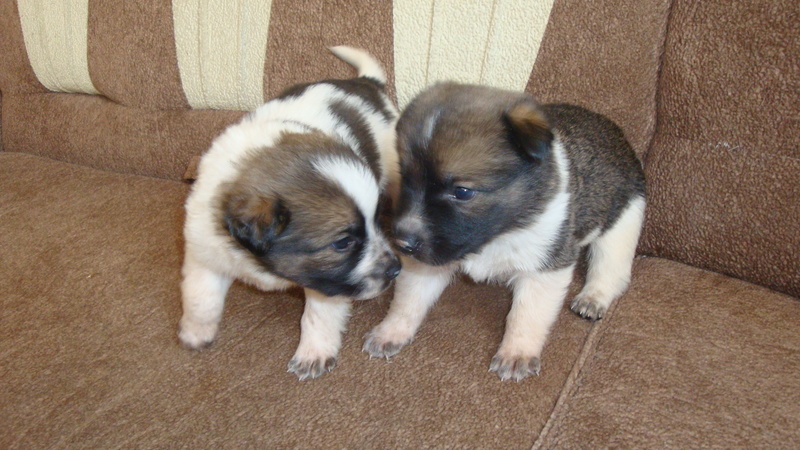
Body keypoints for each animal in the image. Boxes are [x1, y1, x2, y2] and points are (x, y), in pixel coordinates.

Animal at [179, 46, 401, 380]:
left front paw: (314, 353)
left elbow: (318, 314)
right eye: (343, 243)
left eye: (376, 222)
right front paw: (196, 332)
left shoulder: (325, 283)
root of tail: (365, 82)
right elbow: (199, 297)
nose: (395, 269)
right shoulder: (205, 248)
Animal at [363, 82, 646, 381]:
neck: (497, 235)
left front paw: (517, 353)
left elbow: (525, 315)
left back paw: (593, 297)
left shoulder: (545, 268)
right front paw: (391, 331)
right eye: (406, 179)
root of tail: (616, 133)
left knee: (611, 270)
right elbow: (409, 301)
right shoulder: (429, 259)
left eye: (462, 192)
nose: (402, 243)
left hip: (623, 224)